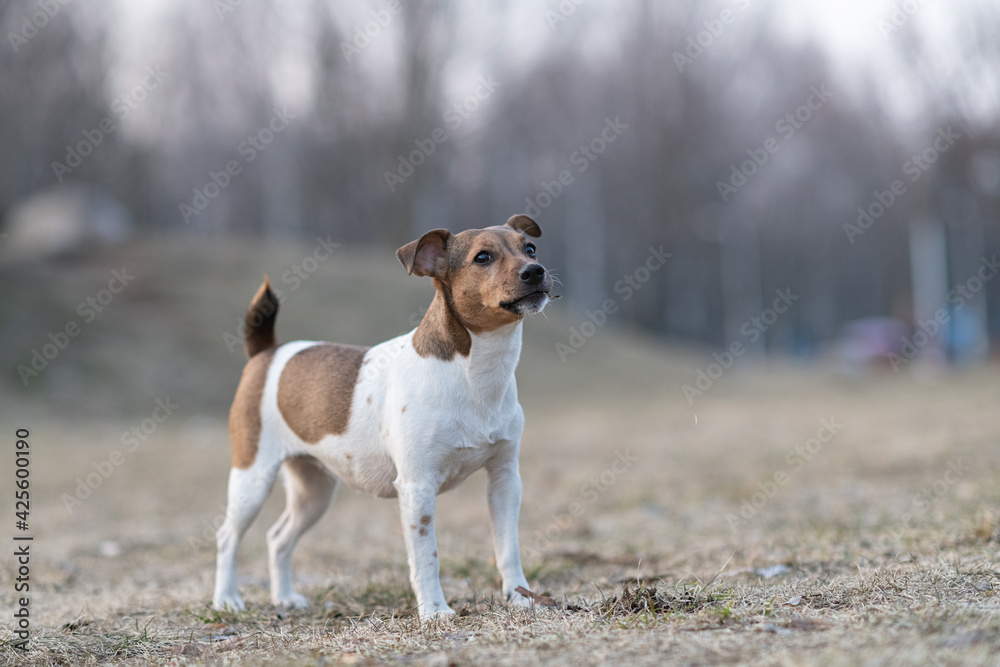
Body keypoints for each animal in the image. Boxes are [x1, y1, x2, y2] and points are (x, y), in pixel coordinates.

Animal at [213, 217, 556, 620]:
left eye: (530, 249)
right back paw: (227, 600)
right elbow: (427, 557)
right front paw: (434, 612)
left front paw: (521, 598)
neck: (475, 373)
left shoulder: (504, 479)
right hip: (252, 479)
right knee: (227, 537)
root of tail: (267, 353)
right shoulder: (417, 488)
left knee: (278, 538)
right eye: (482, 257)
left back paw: (285, 597)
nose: (535, 271)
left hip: (313, 490)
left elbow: (508, 548)